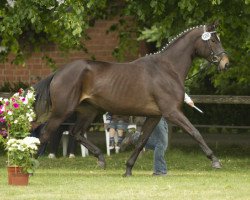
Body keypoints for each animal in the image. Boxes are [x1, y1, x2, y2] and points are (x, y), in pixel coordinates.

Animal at [34, 22, 229, 176]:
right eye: (213, 40)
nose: (225, 63)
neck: (167, 69)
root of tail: (59, 72)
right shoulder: (172, 112)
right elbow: (195, 133)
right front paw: (215, 161)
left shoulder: (155, 115)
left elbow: (141, 141)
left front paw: (128, 169)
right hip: (62, 112)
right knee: (45, 134)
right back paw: (32, 165)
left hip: (88, 111)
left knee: (76, 133)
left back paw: (101, 159)